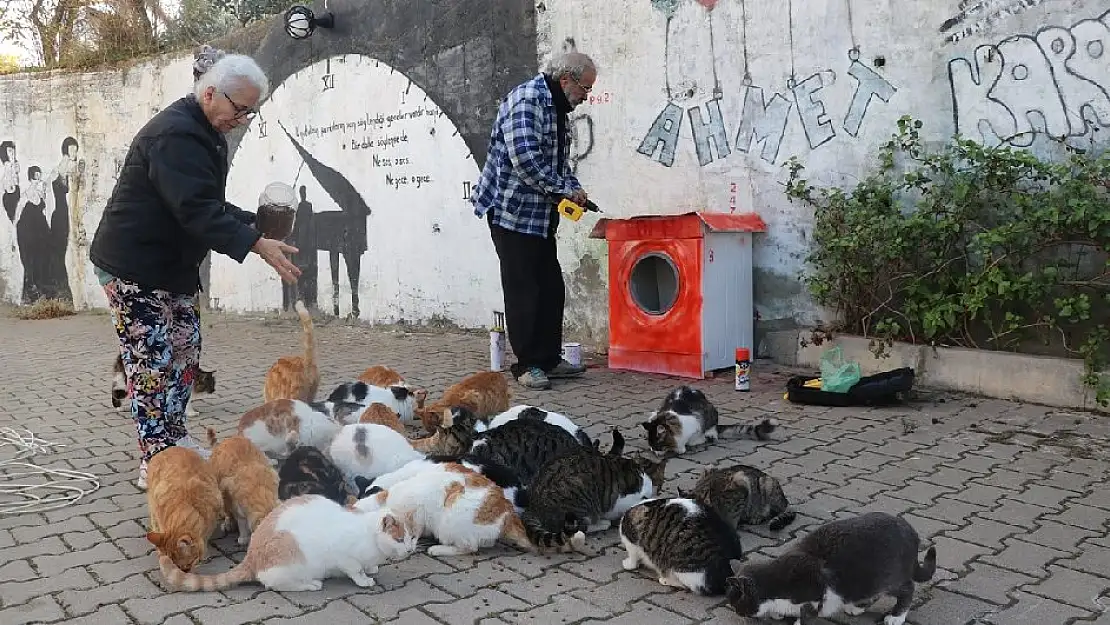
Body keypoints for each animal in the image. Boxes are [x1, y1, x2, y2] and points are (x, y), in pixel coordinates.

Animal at [155, 495, 417, 590]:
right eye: (399, 538)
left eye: (413, 537)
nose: (410, 549)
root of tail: (251, 557)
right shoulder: (344, 557)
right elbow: (355, 570)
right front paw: (364, 580)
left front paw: (372, 568)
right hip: (291, 561)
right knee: (275, 584)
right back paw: (311, 584)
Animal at [617, 499, 745, 595]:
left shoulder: (631, 542)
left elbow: (633, 558)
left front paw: (628, 564)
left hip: (682, 568)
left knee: (686, 586)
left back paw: (665, 579)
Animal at [639, 384, 777, 457]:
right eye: (651, 445)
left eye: (657, 446)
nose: (654, 451)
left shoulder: (696, 424)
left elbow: (693, 440)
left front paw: (685, 447)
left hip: (712, 412)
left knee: (713, 429)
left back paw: (710, 435)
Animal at [723, 510, 932, 625]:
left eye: (736, 603)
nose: (737, 612)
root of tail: (911, 531)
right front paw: (776, 613)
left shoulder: (815, 594)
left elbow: (807, 616)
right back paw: (856, 607)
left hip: (887, 577)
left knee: (907, 588)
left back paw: (896, 616)